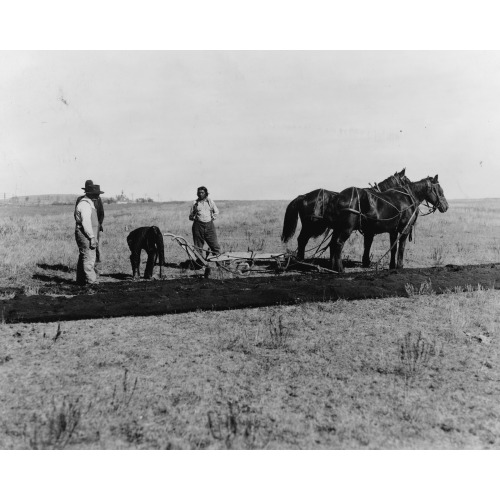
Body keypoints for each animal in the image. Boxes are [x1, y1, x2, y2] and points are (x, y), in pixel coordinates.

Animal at [282, 169, 410, 262]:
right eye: (407, 181)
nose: (409, 195)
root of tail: (303, 196)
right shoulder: (369, 230)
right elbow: (368, 244)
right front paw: (366, 262)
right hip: (310, 227)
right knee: (302, 240)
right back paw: (300, 260)